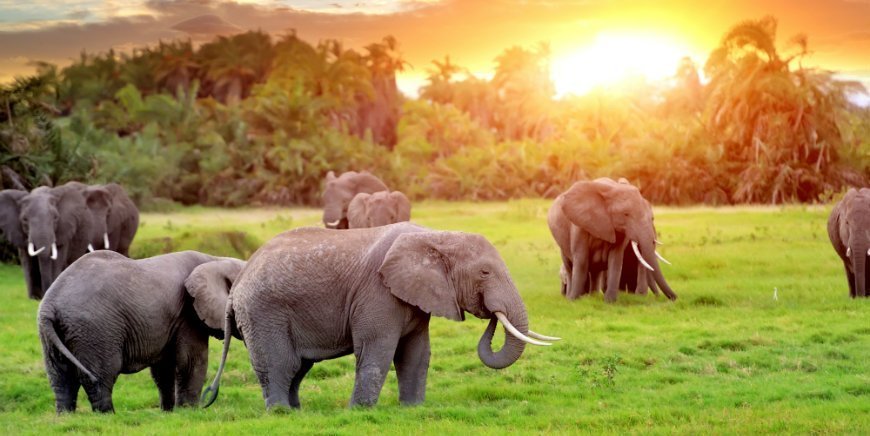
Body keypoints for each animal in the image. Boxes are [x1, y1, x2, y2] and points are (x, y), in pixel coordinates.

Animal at [37, 250, 245, 413]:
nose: (207, 401)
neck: (215, 260)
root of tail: (50, 305)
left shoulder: (172, 320)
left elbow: (164, 368)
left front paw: (168, 412)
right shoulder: (188, 314)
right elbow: (191, 361)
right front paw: (189, 411)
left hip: (53, 335)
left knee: (60, 378)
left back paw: (65, 417)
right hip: (95, 331)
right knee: (100, 375)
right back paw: (108, 416)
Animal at [201, 222, 558, 410]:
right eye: (484, 272)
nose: (492, 314)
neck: (436, 235)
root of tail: (238, 283)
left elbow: (416, 354)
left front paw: (412, 409)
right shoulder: (377, 293)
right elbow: (378, 350)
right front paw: (359, 412)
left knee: (298, 367)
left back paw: (297, 413)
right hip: (263, 312)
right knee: (280, 363)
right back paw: (280, 413)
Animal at [548, 177, 676, 302]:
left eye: (652, 218)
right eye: (625, 214)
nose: (675, 298)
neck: (612, 189)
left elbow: (616, 259)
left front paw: (610, 301)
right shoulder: (580, 224)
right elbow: (581, 259)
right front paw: (574, 300)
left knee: (595, 271)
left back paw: (594, 296)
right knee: (569, 266)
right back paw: (571, 297)